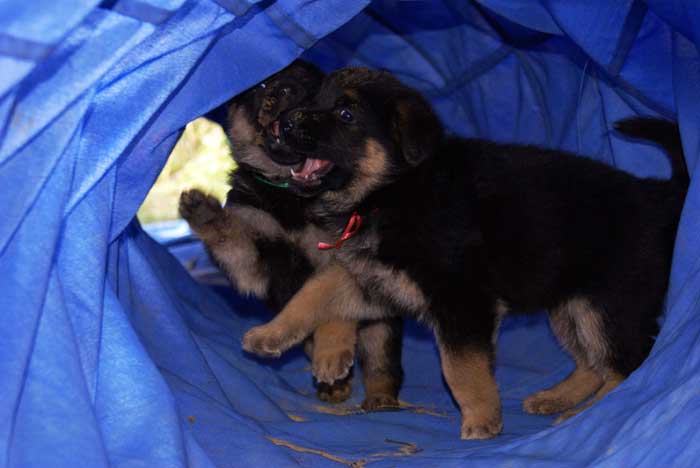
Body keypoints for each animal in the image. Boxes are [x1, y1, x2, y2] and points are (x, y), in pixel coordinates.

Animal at [179, 61, 404, 410]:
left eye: (311, 87)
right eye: (260, 85)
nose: (283, 91)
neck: (291, 191)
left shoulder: (338, 255)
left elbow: (332, 310)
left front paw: (331, 353)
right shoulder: (254, 264)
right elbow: (230, 237)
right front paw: (204, 212)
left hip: (381, 324)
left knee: (381, 359)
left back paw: (379, 397)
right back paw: (334, 387)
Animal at [241, 67, 688, 436]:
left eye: (346, 114)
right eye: (312, 100)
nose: (285, 122)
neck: (397, 190)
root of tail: (657, 196)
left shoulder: (461, 300)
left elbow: (460, 368)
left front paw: (481, 422)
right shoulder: (375, 280)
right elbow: (312, 295)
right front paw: (272, 335)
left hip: (607, 306)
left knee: (625, 366)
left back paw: (588, 417)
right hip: (567, 304)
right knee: (593, 364)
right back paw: (558, 400)